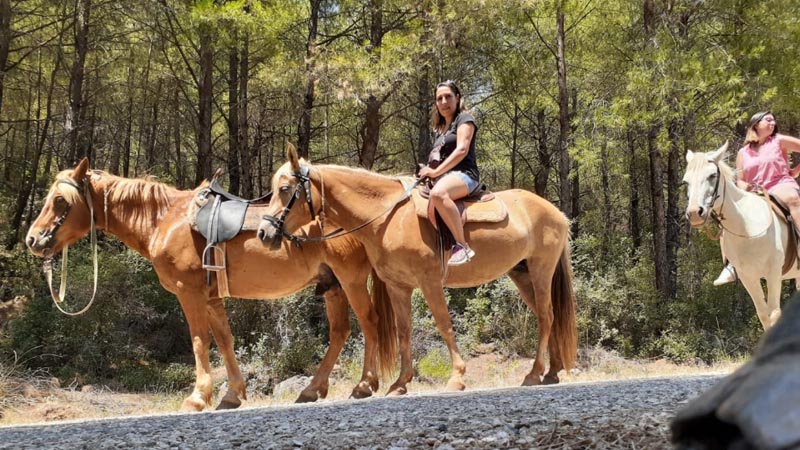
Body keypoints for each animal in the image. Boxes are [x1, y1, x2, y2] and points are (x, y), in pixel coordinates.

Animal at [25, 158, 397, 411]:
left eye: (60, 201)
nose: (32, 239)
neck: (165, 220)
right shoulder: (212, 298)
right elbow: (225, 341)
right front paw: (232, 394)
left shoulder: (189, 293)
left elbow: (199, 342)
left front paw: (197, 397)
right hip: (332, 285)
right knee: (340, 332)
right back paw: (311, 390)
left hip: (350, 280)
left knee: (370, 323)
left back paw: (365, 385)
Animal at [257, 146, 577, 395]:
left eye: (284, 189)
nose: (263, 233)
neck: (388, 217)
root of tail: (556, 212)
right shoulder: (399, 286)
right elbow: (404, 331)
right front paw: (400, 383)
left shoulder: (429, 282)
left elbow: (444, 324)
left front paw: (457, 378)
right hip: (522, 274)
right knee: (547, 316)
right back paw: (552, 371)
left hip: (541, 269)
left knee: (546, 316)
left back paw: (534, 373)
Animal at [684, 141, 800, 330]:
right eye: (685, 181)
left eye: (712, 175)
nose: (694, 213)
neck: (747, 228)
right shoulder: (748, 278)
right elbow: (764, 315)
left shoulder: (773, 273)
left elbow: (774, 314)